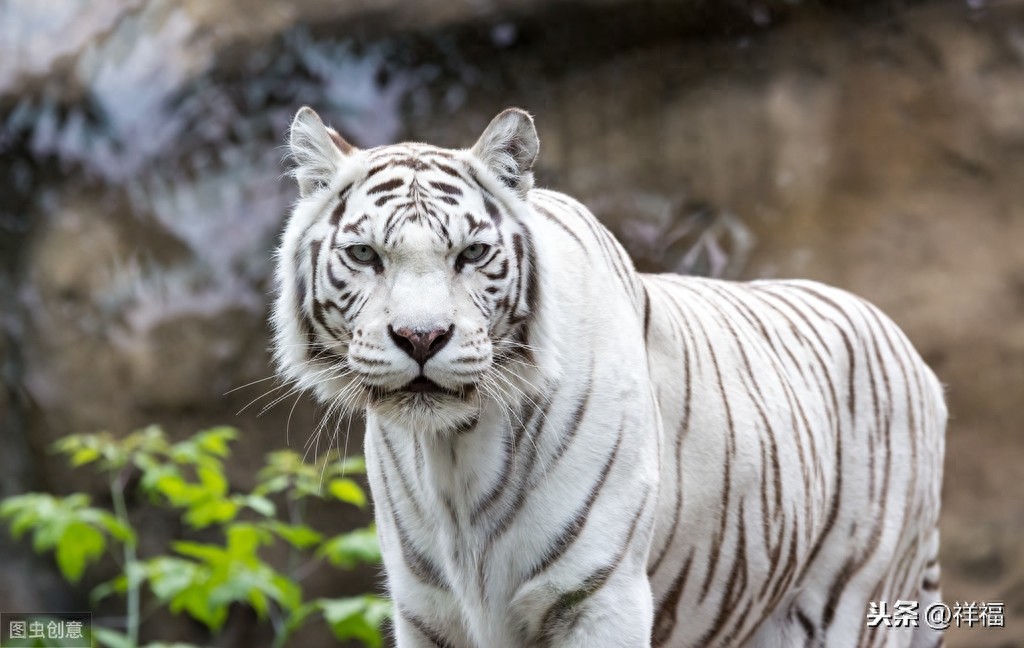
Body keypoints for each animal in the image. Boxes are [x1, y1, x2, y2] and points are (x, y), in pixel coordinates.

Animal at [271, 106, 947, 648]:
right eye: (365, 255)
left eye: (472, 254)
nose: (421, 338)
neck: (454, 455)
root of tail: (914, 357)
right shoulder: (427, 610)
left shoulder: (596, 594)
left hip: (845, 601)